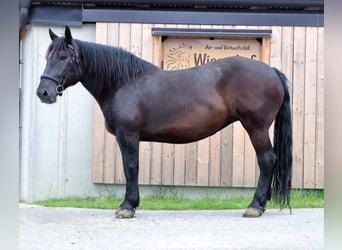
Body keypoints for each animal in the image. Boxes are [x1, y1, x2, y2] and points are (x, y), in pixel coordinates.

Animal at [38, 26, 294, 219]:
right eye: (47, 57)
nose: (43, 92)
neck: (123, 83)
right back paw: (261, 204)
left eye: (63, 57)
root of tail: (272, 71)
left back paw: (255, 206)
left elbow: (131, 167)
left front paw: (127, 206)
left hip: (256, 127)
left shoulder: (128, 135)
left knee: (267, 160)